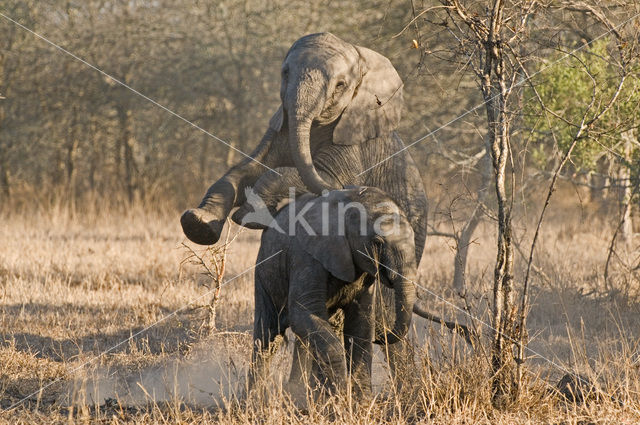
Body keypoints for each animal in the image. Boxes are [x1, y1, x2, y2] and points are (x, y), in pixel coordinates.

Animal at [180, 31, 428, 264]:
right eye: (285, 73)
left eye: (340, 85)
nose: (363, 194)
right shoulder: (280, 125)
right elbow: (247, 170)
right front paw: (198, 224)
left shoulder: (356, 141)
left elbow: (326, 177)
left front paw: (250, 217)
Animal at [248, 186, 418, 394]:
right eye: (377, 242)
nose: (380, 337)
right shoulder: (306, 257)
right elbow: (303, 314)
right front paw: (340, 396)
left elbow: (360, 324)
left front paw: (359, 400)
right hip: (264, 272)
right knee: (267, 337)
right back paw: (254, 399)